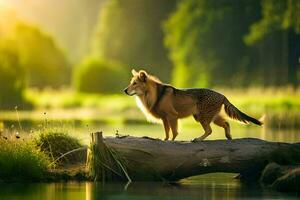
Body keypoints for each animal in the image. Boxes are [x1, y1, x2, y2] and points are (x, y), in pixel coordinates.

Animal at [123, 69, 262, 141]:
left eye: (135, 83)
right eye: (131, 83)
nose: (124, 90)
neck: (156, 94)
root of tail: (223, 95)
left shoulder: (172, 117)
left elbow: (174, 133)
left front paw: (172, 141)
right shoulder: (164, 119)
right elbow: (167, 132)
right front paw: (165, 140)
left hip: (203, 117)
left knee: (209, 130)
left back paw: (198, 139)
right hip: (211, 116)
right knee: (226, 123)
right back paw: (228, 136)